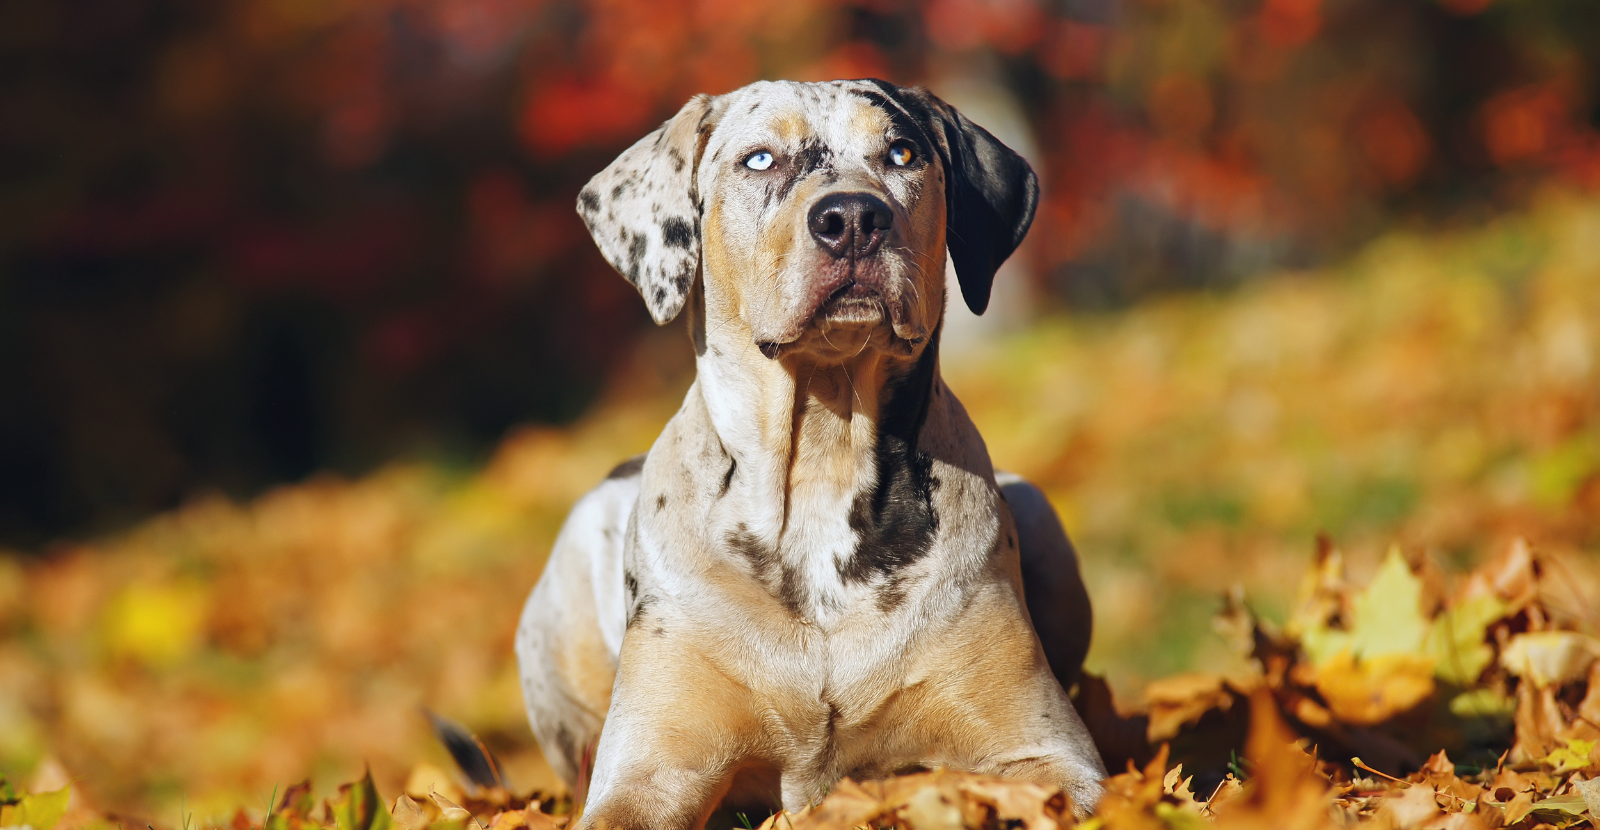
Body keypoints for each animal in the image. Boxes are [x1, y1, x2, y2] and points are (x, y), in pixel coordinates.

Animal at [518, 79, 1107, 830]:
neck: (823, 464)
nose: (853, 217)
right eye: (760, 158)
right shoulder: (648, 773)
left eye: (902, 152)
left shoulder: (1047, 752)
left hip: (1040, 518)